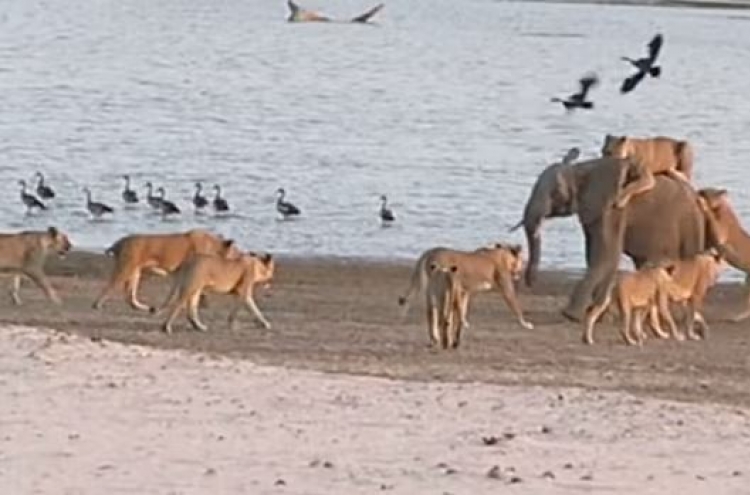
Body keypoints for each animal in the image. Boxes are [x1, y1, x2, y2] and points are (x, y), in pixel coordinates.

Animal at [93, 229, 241, 310]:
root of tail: (119, 241)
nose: (242, 256)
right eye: (237, 251)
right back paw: (97, 305)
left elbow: (174, 292)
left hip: (135, 272)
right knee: (109, 287)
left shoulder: (180, 274)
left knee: (130, 297)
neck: (214, 246)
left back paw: (147, 308)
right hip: (125, 268)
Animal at [400, 243, 536, 330]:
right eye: (521, 260)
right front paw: (526, 324)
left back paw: (403, 319)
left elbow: (463, 309)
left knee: (410, 299)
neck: (502, 256)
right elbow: (517, 308)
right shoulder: (507, 290)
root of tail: (431, 251)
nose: (520, 271)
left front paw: (464, 324)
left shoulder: (465, 291)